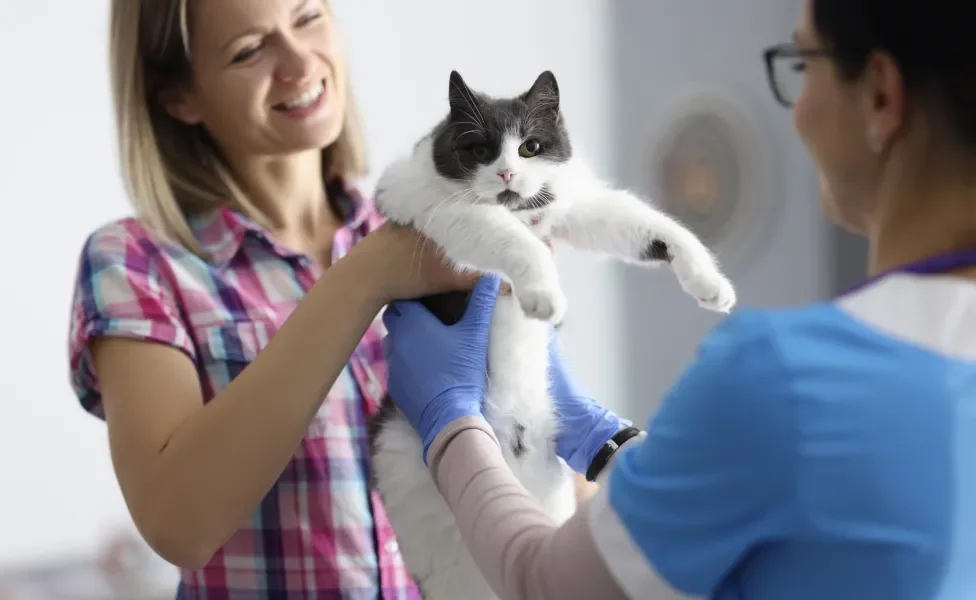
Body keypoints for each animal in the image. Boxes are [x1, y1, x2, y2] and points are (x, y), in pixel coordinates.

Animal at [370, 71, 736, 600]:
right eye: (479, 149)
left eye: (531, 147)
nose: (506, 174)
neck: (519, 207)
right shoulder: (438, 208)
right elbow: (510, 236)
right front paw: (544, 295)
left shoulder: (574, 202)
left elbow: (644, 223)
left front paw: (710, 282)